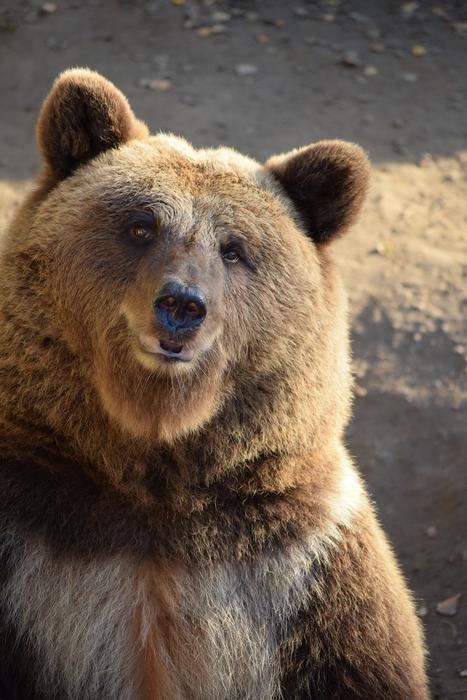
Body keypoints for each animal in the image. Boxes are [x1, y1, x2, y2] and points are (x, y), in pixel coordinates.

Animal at [0, 68, 429, 699]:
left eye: (233, 249)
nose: (182, 305)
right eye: (141, 225)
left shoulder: (305, 567)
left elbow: (361, 661)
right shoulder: (28, 535)